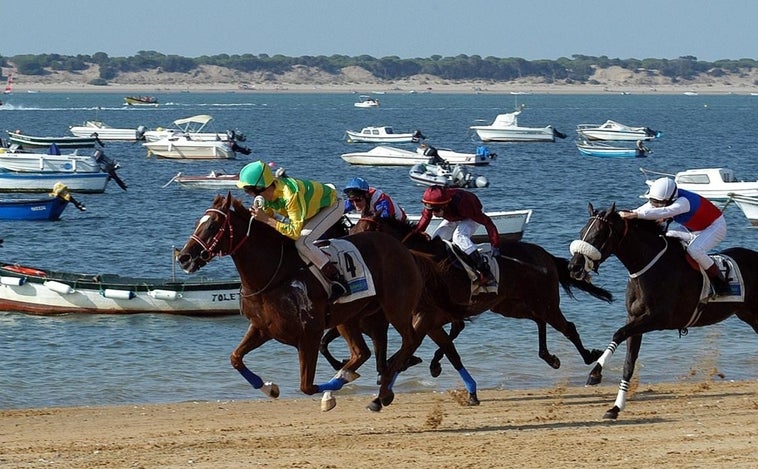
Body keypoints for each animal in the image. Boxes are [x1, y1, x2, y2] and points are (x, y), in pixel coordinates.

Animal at [176, 192, 430, 412]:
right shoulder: (262, 328)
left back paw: (382, 391)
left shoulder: (309, 334)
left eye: (212, 226)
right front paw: (270, 388)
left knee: (408, 341)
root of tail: (403, 248)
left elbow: (306, 386)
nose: (184, 257)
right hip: (352, 317)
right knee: (363, 353)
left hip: (396, 309)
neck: (273, 275)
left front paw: (327, 394)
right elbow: (235, 358)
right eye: (198, 222)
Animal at [322, 213, 616, 402]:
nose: (351, 254)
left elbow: (412, 348)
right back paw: (550, 357)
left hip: (544, 302)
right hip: (511, 305)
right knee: (540, 321)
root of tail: (545, 255)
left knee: (568, 327)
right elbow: (442, 347)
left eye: (362, 230)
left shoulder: (429, 315)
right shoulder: (430, 317)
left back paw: (588, 358)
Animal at [568, 203, 758, 418]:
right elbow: (628, 363)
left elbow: (619, 333)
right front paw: (615, 408)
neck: (650, 267)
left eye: (598, 234)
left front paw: (595, 373)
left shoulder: (658, 319)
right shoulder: (634, 318)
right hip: (749, 315)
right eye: (582, 232)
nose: (574, 267)